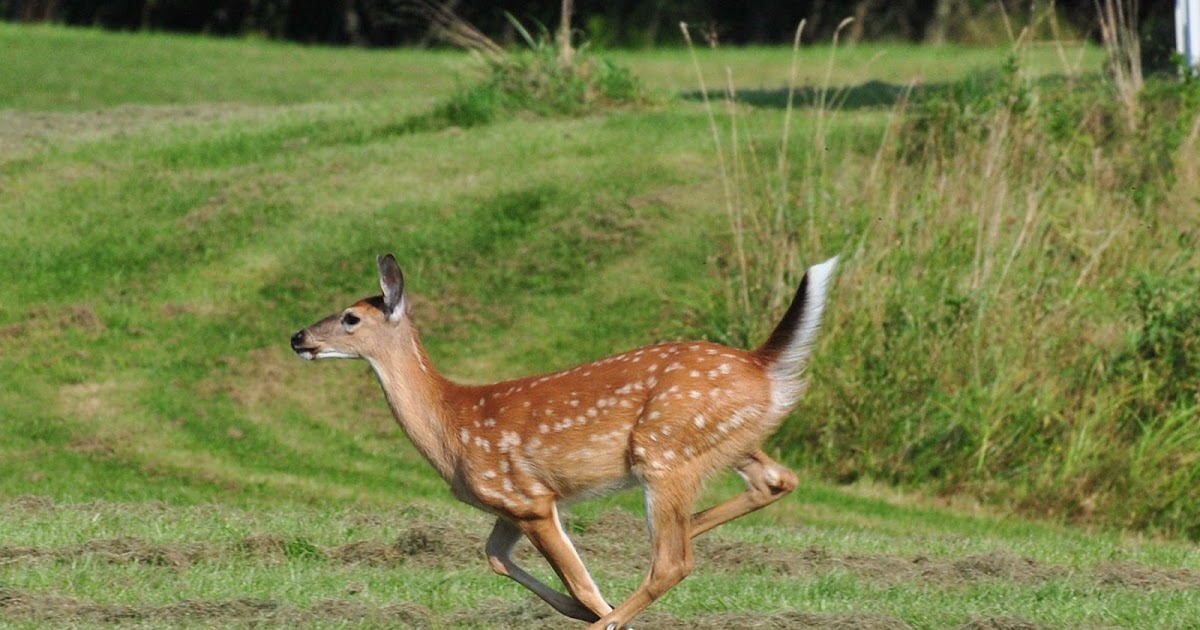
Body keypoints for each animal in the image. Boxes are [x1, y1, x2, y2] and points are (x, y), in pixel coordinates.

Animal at [290, 253, 838, 629]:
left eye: (350, 318)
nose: (298, 337)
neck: (451, 425)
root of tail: (761, 363)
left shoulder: (526, 498)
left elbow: (576, 577)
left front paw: (599, 610)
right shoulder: (509, 505)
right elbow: (494, 556)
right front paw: (581, 609)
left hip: (663, 450)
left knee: (673, 561)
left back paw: (617, 612)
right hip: (723, 442)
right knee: (775, 480)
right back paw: (686, 534)